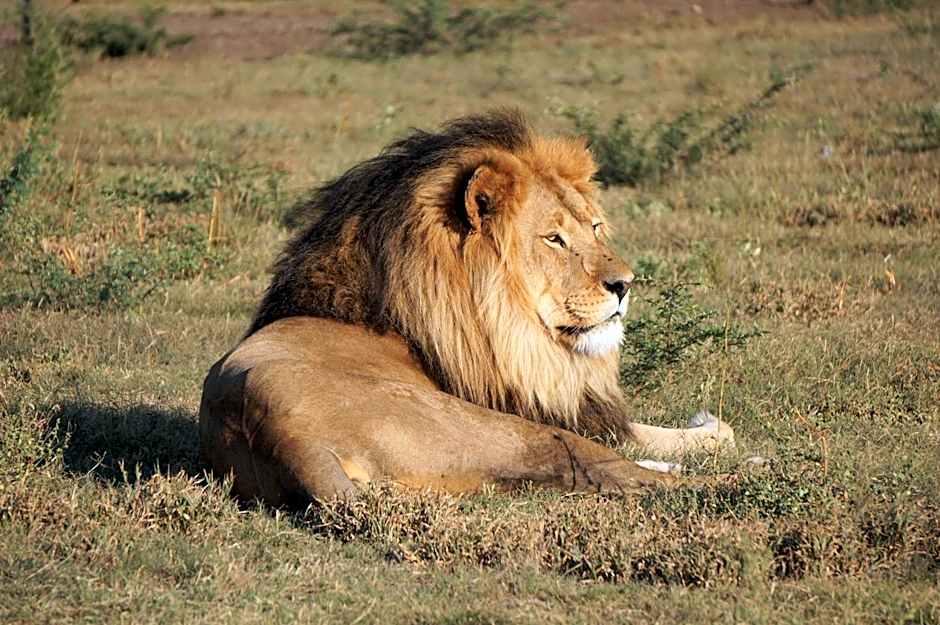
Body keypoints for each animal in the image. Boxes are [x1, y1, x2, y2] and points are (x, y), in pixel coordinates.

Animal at [199, 110, 734, 506]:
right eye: (554, 239)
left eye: (595, 227)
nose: (624, 285)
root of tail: (278, 431)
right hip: (502, 429)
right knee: (622, 475)